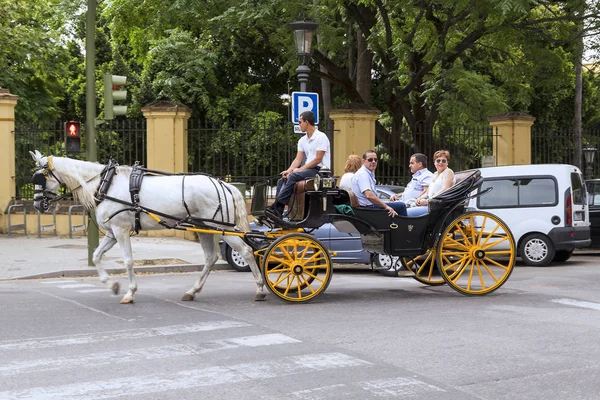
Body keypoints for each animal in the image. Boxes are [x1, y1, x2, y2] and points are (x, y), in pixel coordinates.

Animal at [29, 150, 264, 304]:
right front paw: (111, 284)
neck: (105, 184)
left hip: (221, 227)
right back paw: (192, 290)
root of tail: (224, 184)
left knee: (246, 251)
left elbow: (128, 261)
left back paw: (260, 288)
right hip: (204, 227)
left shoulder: (121, 231)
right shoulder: (112, 233)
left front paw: (130, 292)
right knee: (211, 257)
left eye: (40, 177)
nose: (38, 204)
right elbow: (96, 256)